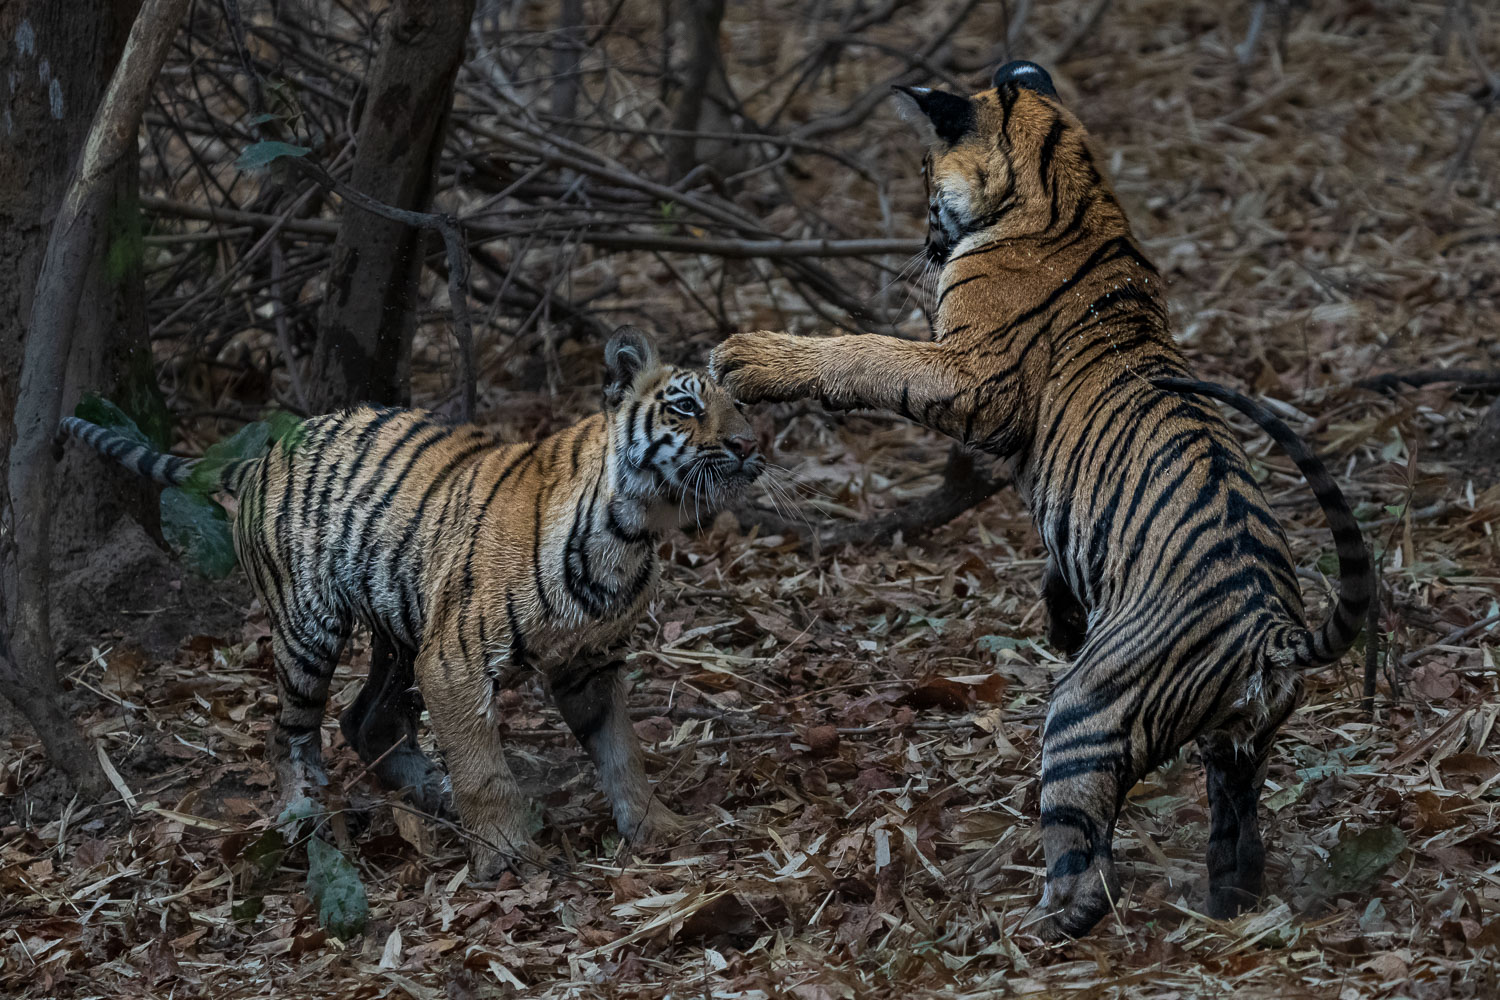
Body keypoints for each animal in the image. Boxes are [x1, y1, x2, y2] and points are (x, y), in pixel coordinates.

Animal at [61, 326, 764, 876]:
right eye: (685, 406)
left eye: (740, 405)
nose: (749, 445)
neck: (633, 530)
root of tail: (263, 454)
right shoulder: (454, 660)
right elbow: (484, 767)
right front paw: (507, 856)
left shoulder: (588, 664)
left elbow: (622, 752)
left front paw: (657, 826)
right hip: (313, 629)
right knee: (288, 733)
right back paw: (303, 817)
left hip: (403, 627)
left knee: (366, 721)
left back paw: (433, 795)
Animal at [710, 61, 1373, 939]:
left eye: (924, 186)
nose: (924, 246)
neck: (1073, 183)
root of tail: (1274, 633)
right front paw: (1059, 617)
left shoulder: (971, 378)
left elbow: (869, 353)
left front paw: (751, 358)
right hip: (1238, 749)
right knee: (1238, 841)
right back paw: (1226, 907)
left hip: (1090, 714)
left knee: (1085, 867)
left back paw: (1017, 926)